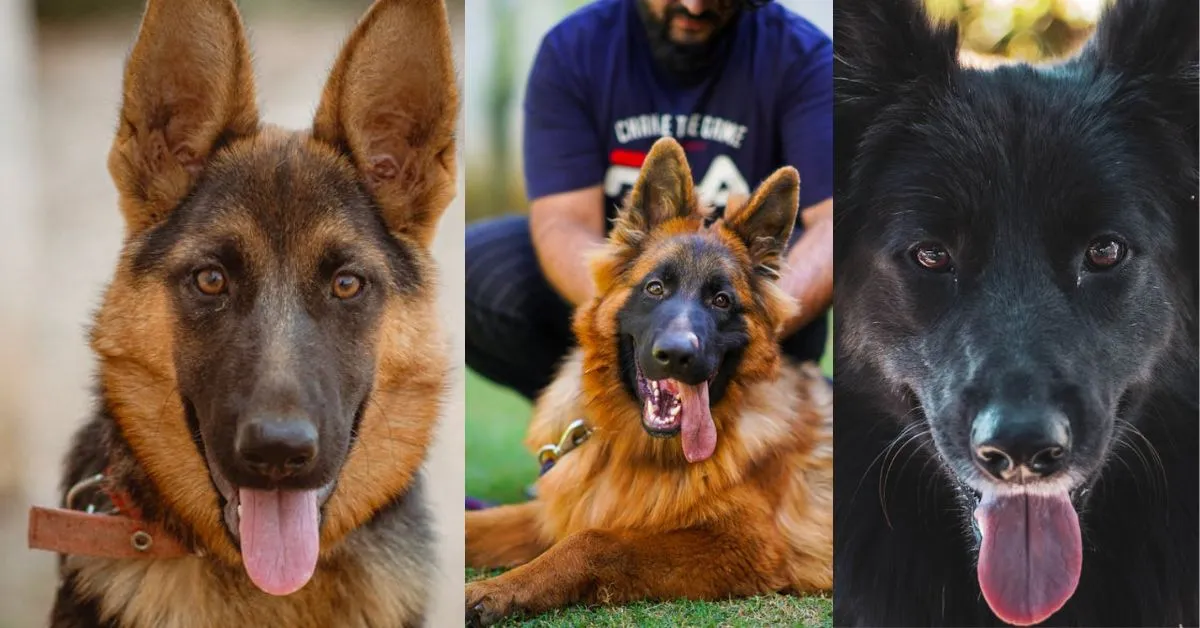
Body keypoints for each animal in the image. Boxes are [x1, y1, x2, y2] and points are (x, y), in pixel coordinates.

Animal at [460, 137, 835, 624]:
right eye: (656, 288)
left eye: (721, 300)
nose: (676, 355)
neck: (632, 445)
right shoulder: (558, 509)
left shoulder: (743, 544)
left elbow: (594, 542)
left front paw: (494, 590)